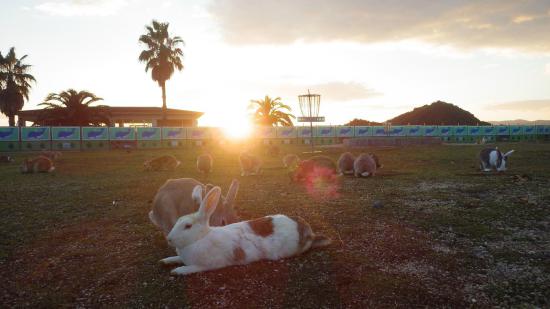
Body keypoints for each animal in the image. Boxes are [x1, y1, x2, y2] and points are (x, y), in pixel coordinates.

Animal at [161, 186, 332, 276]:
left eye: (187, 226)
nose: (169, 239)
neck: (200, 238)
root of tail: (308, 232)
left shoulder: (207, 265)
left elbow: (191, 268)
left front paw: (177, 271)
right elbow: (175, 257)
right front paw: (165, 261)